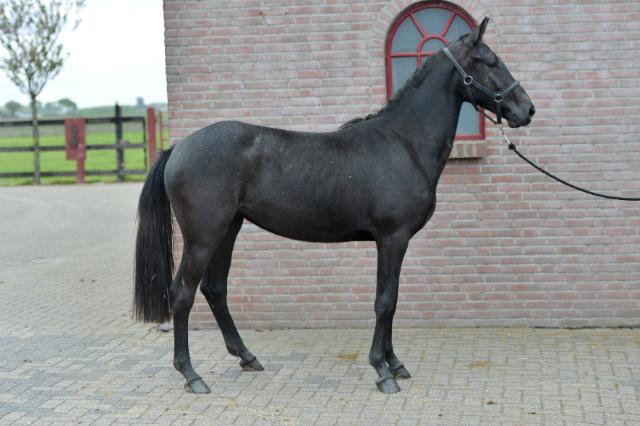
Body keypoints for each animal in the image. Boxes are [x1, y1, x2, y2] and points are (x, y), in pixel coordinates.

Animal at [134, 17, 535, 394]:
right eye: (491, 61)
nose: (527, 109)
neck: (403, 144)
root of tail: (178, 148)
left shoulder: (392, 242)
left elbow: (391, 299)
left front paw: (395, 363)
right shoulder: (392, 238)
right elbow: (385, 301)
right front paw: (382, 371)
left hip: (228, 229)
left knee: (215, 289)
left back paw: (246, 357)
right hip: (203, 237)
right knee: (182, 294)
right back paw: (191, 375)